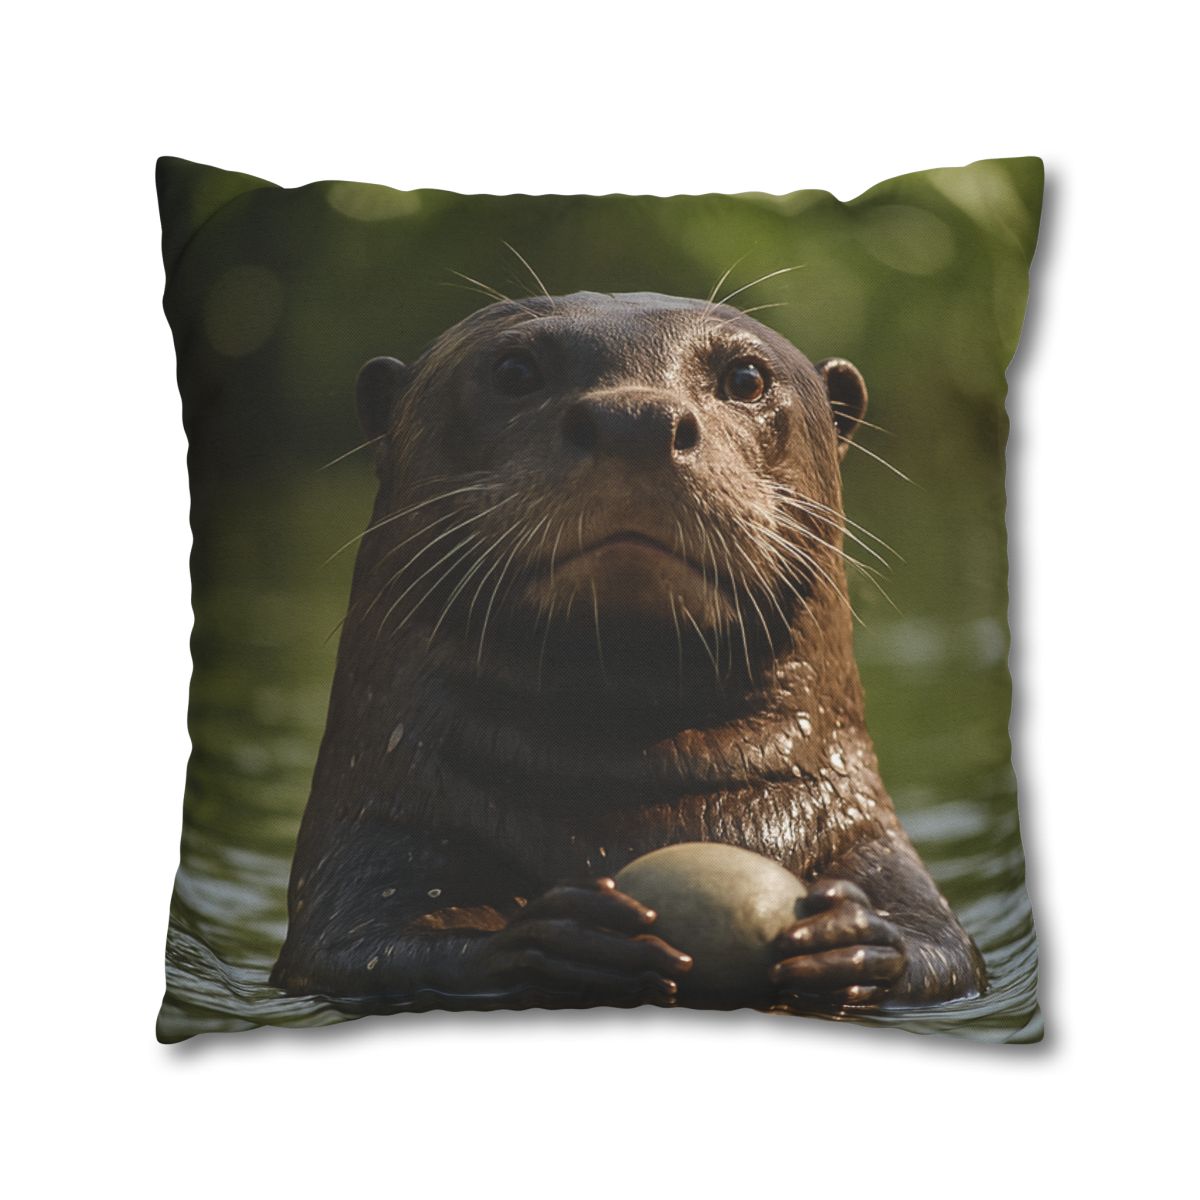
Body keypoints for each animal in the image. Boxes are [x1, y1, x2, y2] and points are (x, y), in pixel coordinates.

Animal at [270, 291, 986, 1012]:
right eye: (515, 371)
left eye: (745, 378)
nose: (637, 419)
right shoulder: (372, 842)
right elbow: (363, 947)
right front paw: (563, 937)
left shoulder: (869, 840)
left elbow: (944, 951)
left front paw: (848, 936)